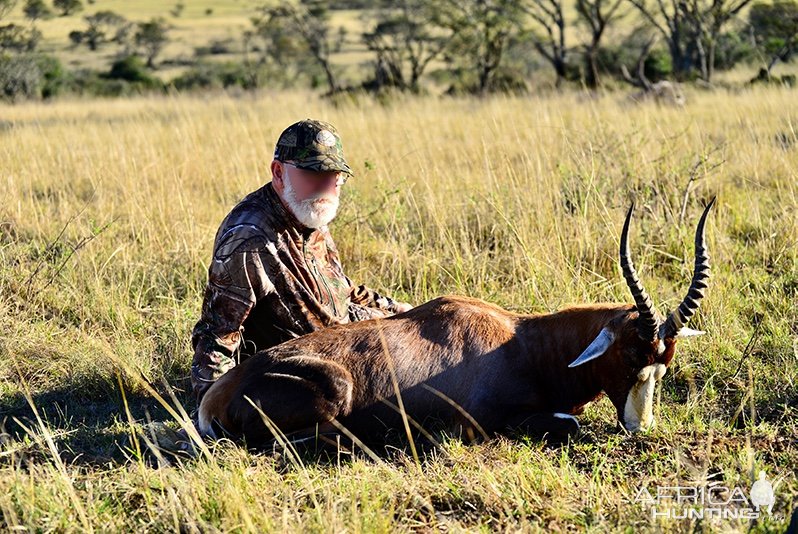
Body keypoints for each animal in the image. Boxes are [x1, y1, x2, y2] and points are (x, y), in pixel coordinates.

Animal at [200, 199, 720, 446]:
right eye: (629, 356)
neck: (522, 343)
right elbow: (570, 423)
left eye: (664, 364)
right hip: (334, 390)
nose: (641, 428)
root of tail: (217, 393)